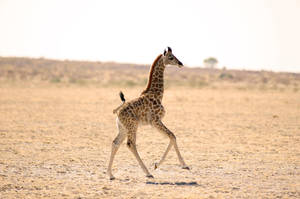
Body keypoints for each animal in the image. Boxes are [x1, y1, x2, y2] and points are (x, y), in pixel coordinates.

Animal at [106, 47, 189, 180]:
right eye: (171, 57)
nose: (180, 63)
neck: (157, 94)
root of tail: (117, 112)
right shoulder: (155, 121)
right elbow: (172, 136)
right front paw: (181, 165)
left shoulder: (155, 123)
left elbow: (172, 136)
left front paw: (158, 164)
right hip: (132, 126)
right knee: (131, 144)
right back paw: (147, 173)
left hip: (123, 128)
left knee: (115, 143)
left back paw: (110, 174)